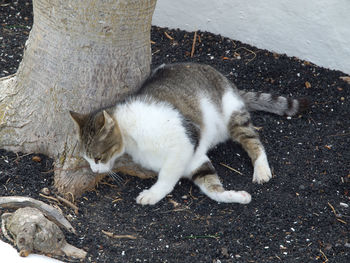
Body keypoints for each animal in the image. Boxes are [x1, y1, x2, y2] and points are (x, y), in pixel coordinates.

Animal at [69, 63, 308, 206]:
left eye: (98, 157)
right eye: (87, 159)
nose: (94, 170)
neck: (132, 134)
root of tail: (228, 82)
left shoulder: (185, 142)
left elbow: (167, 176)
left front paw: (152, 194)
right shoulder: (194, 158)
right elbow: (211, 187)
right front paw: (235, 196)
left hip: (234, 116)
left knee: (254, 141)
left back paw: (261, 170)